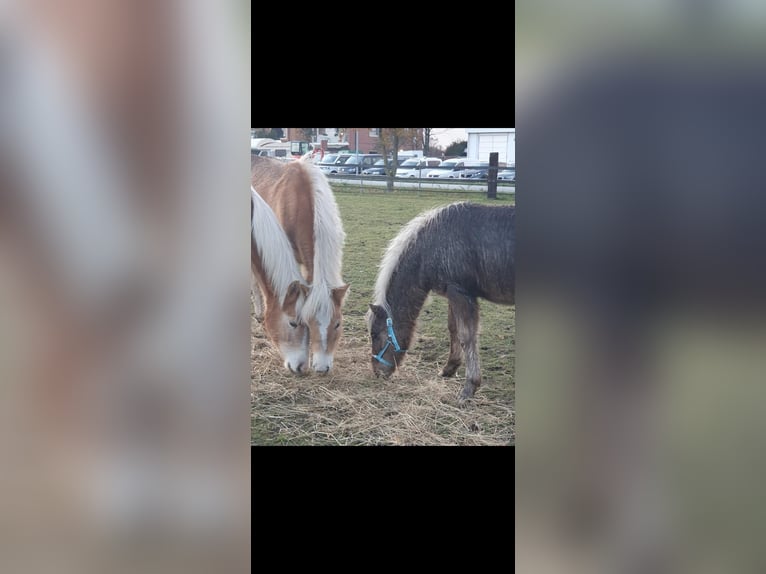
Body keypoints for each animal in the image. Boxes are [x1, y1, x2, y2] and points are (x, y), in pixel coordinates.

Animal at [366, 202, 515, 403]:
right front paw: (449, 369)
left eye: (375, 335)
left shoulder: (461, 293)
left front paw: (469, 388)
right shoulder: (452, 293)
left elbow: (467, 336)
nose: (378, 373)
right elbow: (453, 329)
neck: (430, 246)